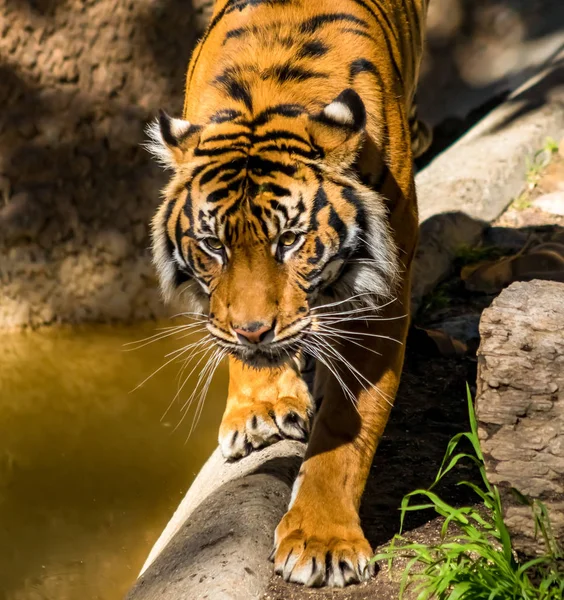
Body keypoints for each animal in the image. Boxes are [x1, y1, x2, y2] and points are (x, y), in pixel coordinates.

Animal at [147, 0, 432, 592]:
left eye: (290, 240)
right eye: (213, 245)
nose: (254, 330)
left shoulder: (380, 301)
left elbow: (347, 425)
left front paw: (322, 542)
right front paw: (261, 408)